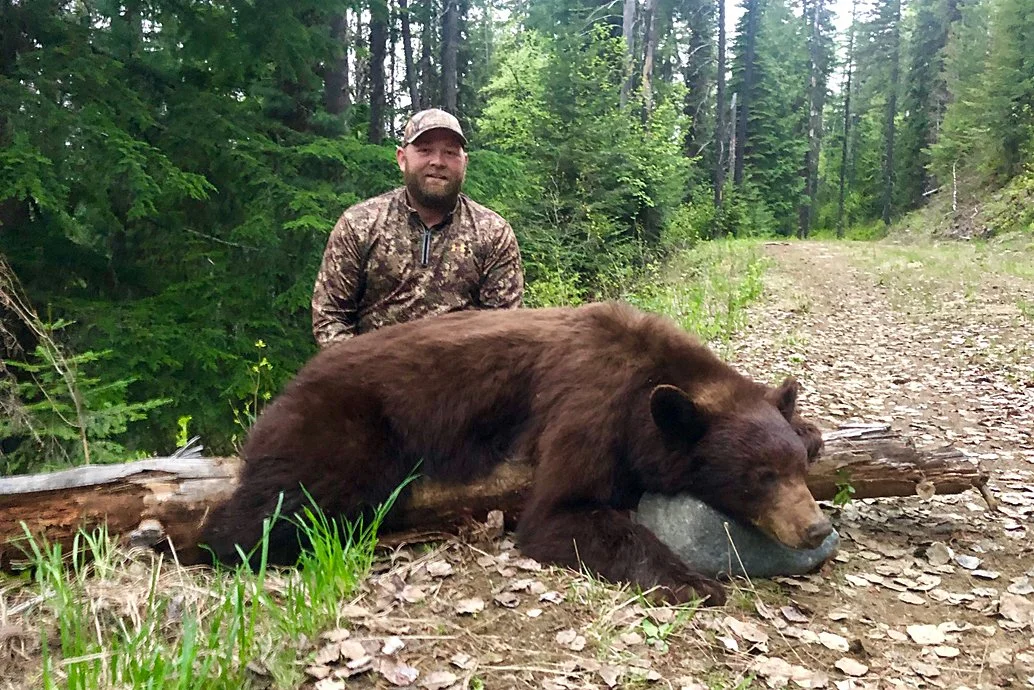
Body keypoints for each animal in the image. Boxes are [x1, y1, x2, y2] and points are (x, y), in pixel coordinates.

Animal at [201, 301, 831, 605]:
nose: (816, 529)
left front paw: (809, 425)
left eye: (796, 471)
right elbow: (560, 512)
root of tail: (292, 381)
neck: (648, 377)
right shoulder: (590, 405)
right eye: (760, 476)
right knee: (285, 501)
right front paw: (692, 581)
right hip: (345, 425)